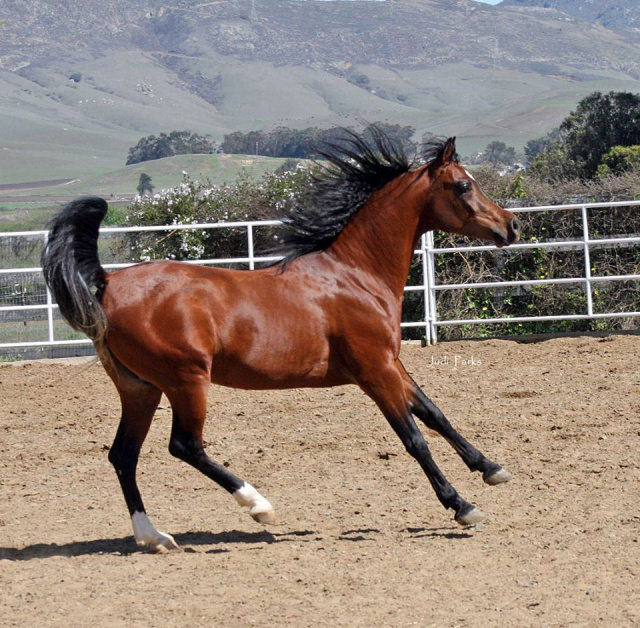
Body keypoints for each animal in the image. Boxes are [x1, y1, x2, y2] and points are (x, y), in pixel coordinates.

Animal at [41, 130, 520, 552]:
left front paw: (491, 469)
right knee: (184, 446)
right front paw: (462, 506)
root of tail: (107, 283)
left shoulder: (391, 364)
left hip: (140, 388)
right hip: (186, 380)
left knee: (123, 456)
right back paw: (259, 506)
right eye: (463, 185)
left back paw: (154, 537)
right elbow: (415, 438)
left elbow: (436, 415)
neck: (357, 274)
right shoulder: (374, 372)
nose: (511, 226)